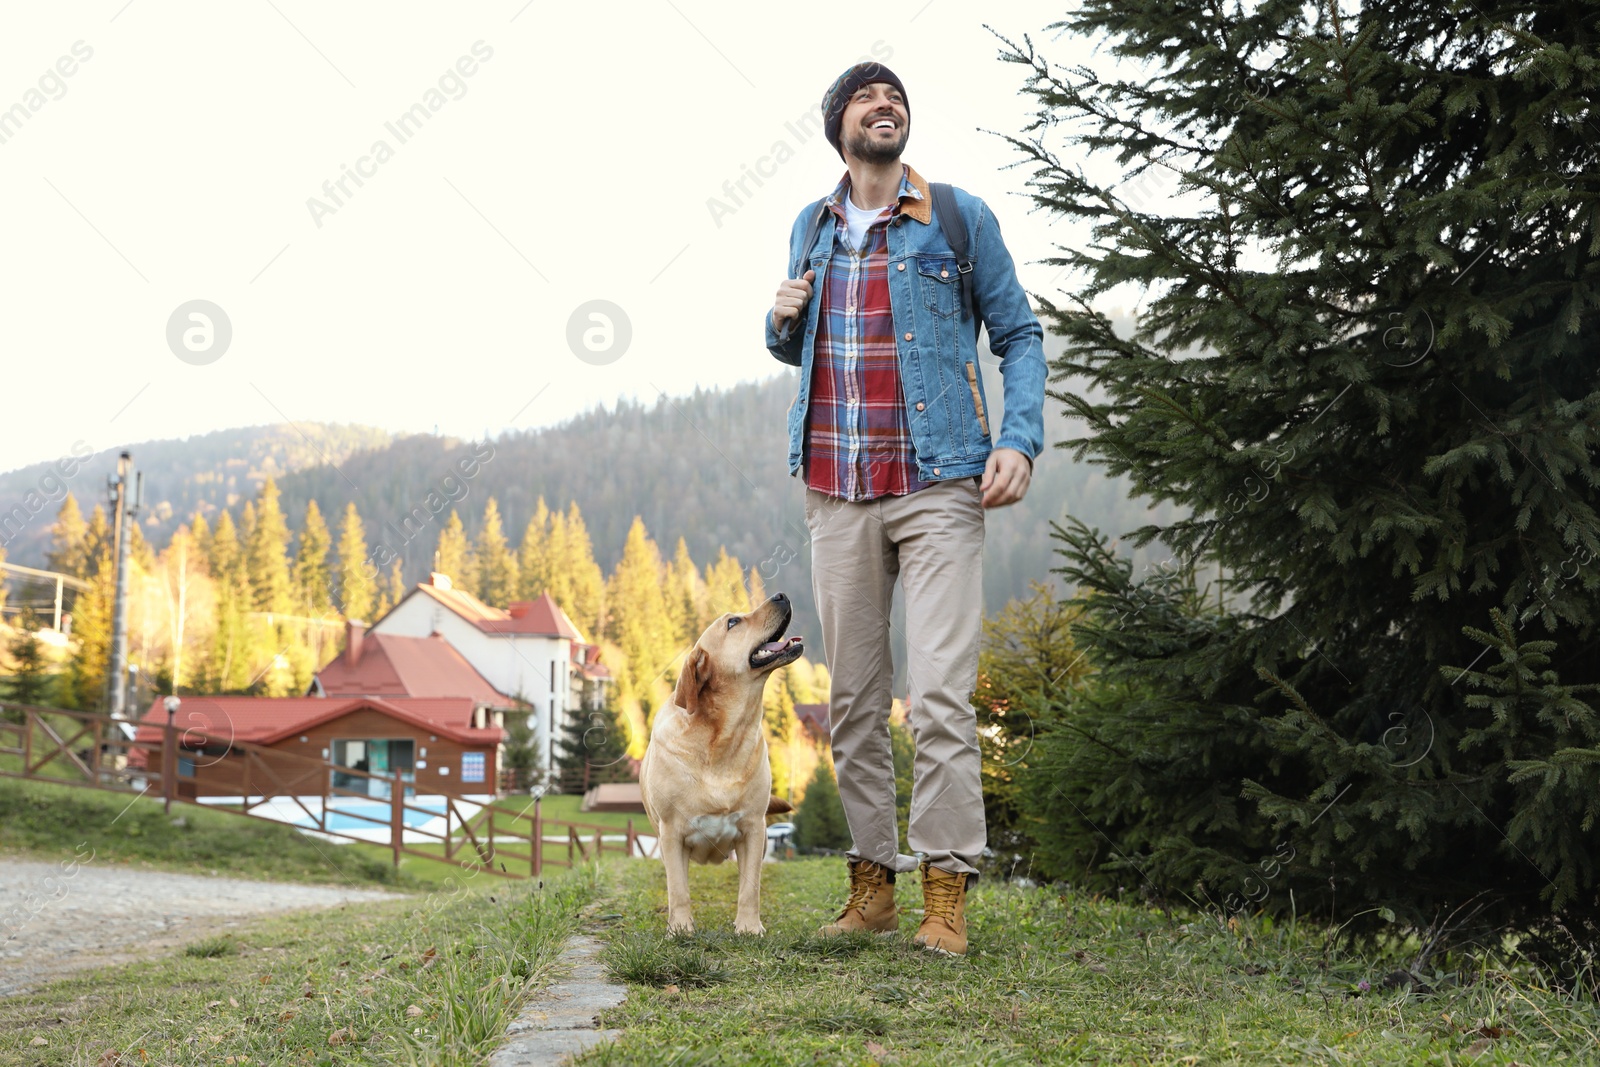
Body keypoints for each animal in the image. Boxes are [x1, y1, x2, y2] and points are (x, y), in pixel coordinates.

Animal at [640, 591, 806, 934]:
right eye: (733, 622)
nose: (781, 595)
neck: (723, 738)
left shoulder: (755, 828)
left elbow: (750, 887)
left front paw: (749, 927)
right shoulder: (671, 834)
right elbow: (678, 889)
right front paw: (680, 928)